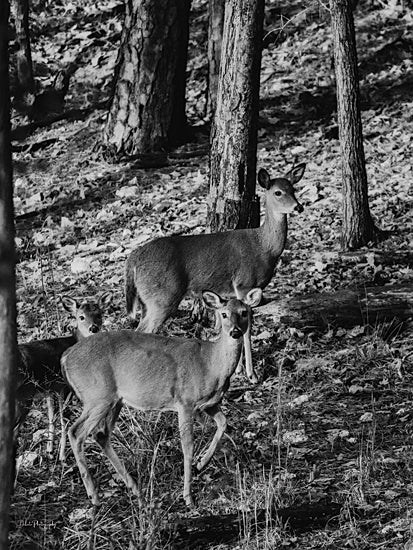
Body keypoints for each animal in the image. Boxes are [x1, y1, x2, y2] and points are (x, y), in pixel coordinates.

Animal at [15, 294, 112, 466]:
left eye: (99, 314)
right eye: (81, 317)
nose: (93, 328)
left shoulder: (49, 389)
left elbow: (51, 416)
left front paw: (49, 451)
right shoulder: (64, 387)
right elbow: (63, 420)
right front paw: (62, 457)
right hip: (23, 397)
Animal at [61, 288, 260, 508]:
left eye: (244, 312)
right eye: (223, 314)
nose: (235, 332)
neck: (211, 364)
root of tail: (66, 356)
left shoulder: (210, 404)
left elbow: (223, 423)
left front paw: (201, 463)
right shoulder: (185, 401)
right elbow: (187, 447)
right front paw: (188, 497)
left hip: (114, 400)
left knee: (101, 434)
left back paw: (136, 491)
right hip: (97, 396)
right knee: (76, 432)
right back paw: (94, 496)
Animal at [124, 163, 304, 384]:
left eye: (293, 189)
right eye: (278, 192)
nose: (298, 207)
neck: (264, 246)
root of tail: (133, 258)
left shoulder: (232, 293)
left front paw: (237, 369)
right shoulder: (244, 284)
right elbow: (247, 331)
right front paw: (251, 375)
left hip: (147, 301)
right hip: (162, 297)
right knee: (143, 330)